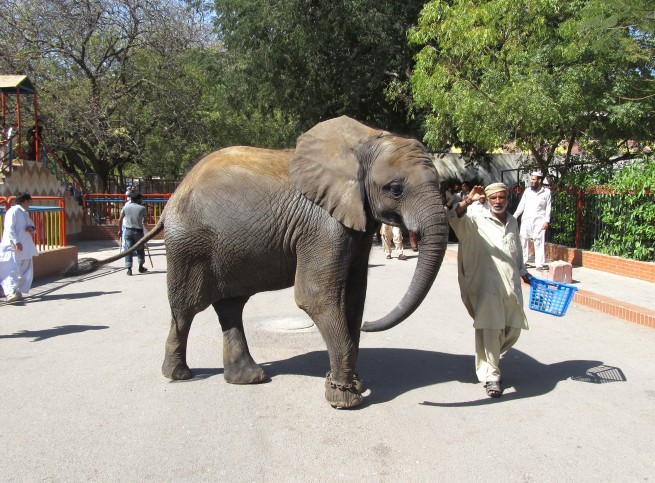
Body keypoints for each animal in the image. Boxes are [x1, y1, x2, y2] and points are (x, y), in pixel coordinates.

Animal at [75, 116, 446, 408]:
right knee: (185, 308)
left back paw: (248, 378)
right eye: (395, 188)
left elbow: (354, 295)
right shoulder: (322, 225)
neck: (365, 141)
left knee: (230, 306)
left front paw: (352, 385)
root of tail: (170, 200)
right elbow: (317, 297)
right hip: (188, 244)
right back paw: (179, 375)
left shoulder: (355, 222)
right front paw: (345, 400)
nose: (372, 326)